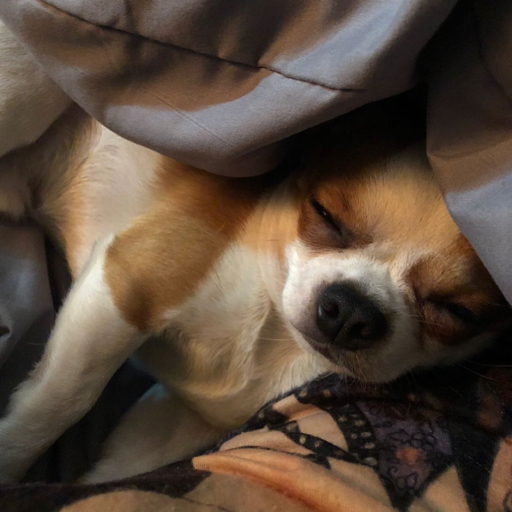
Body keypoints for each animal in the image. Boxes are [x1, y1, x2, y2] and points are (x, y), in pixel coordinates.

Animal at [0, 78, 510, 482]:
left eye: (457, 311)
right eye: (325, 215)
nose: (351, 309)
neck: (272, 333)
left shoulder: (180, 418)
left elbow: (119, 470)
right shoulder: (127, 286)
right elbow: (61, 402)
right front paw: (10, 466)